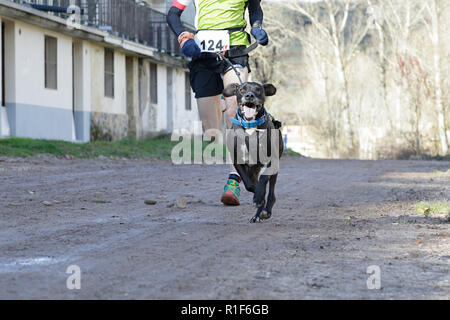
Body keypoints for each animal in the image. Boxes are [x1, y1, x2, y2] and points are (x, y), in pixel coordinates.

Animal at [223, 82, 284, 222]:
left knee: (271, 191)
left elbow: (264, 178)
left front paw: (259, 196)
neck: (250, 127)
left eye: (258, 90)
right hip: (252, 170)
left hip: (274, 168)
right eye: (242, 89)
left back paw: (266, 211)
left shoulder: (272, 160)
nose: (249, 95)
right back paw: (257, 214)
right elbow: (249, 185)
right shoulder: (237, 159)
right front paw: (258, 196)